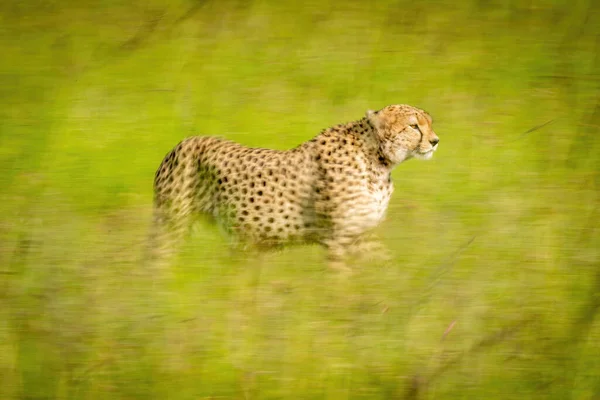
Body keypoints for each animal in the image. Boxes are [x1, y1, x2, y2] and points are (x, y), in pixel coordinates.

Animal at [148, 104, 438, 270]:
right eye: (414, 126)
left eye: (429, 123)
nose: (435, 141)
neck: (378, 159)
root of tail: (183, 141)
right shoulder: (338, 239)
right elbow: (341, 285)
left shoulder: (360, 235)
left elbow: (387, 265)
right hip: (172, 224)